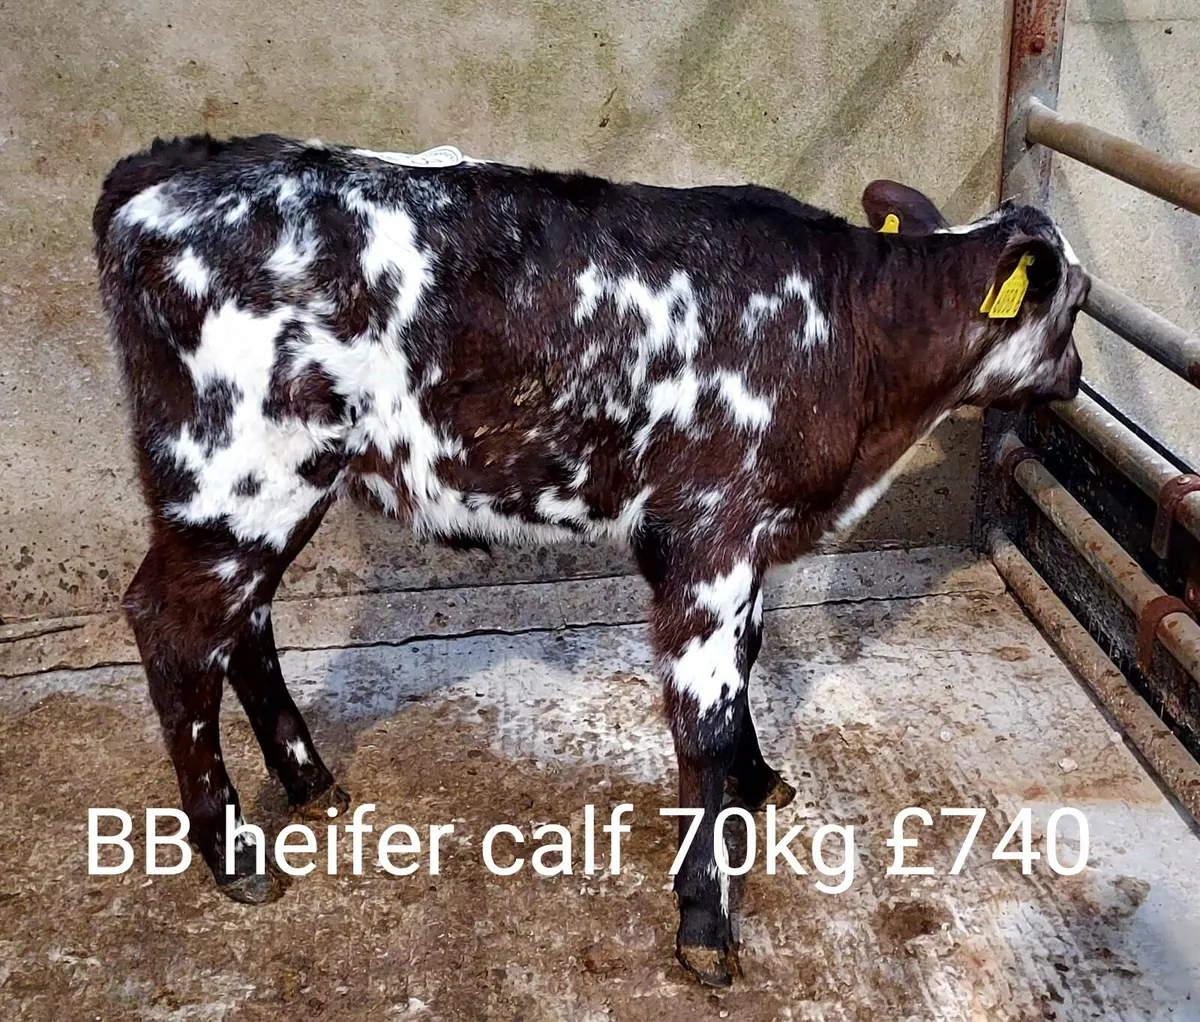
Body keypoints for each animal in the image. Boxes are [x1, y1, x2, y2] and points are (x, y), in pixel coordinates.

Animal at [92, 134, 1086, 986]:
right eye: (1075, 306)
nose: (1077, 378)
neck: (855, 337)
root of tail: (173, 165)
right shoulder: (707, 532)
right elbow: (704, 721)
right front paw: (705, 922)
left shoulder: (742, 543)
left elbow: (746, 669)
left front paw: (757, 781)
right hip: (236, 472)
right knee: (175, 626)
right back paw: (233, 855)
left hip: (276, 485)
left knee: (242, 620)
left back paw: (308, 783)